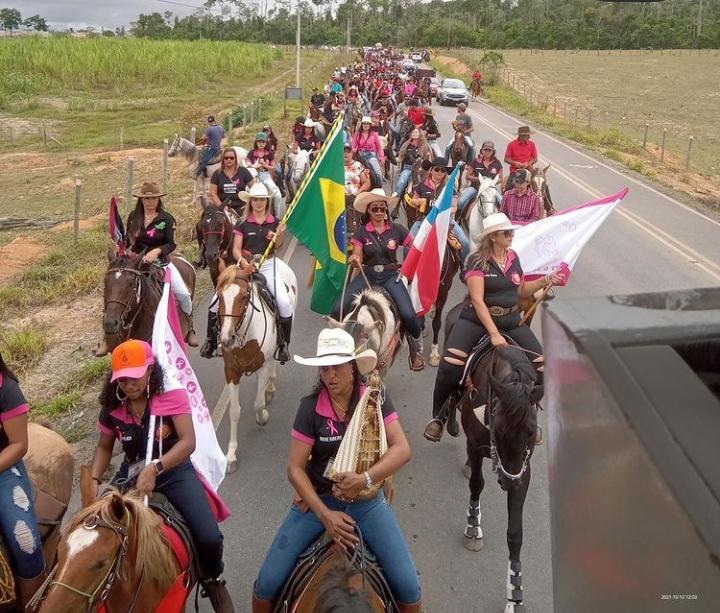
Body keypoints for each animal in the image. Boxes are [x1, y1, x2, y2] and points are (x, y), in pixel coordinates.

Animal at [212, 264, 296, 474]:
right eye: (219, 295)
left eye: (243, 296)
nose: (226, 339)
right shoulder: (231, 372)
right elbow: (234, 411)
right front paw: (231, 455)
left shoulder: (262, 367)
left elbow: (258, 403)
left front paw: (262, 416)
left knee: (276, 358)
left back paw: (270, 388)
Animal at [450, 334, 540, 612]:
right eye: (498, 429)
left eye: (531, 431)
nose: (508, 483)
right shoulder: (476, 447)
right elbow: (477, 485)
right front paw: (473, 527)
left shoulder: (524, 470)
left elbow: (515, 533)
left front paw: (515, 595)